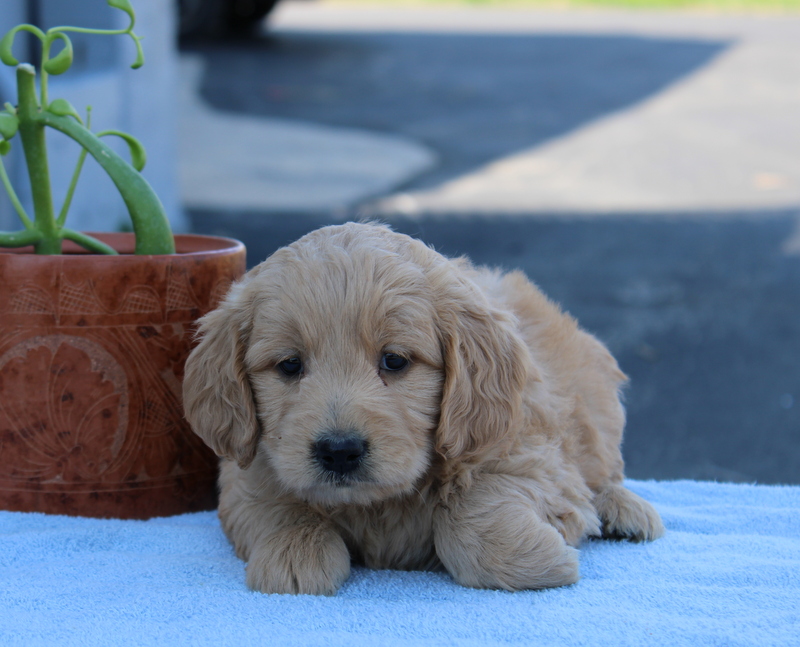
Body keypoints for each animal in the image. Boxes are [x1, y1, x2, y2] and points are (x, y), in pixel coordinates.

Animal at [183, 220, 664, 596]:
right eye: (289, 365)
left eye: (395, 361)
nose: (339, 451)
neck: (378, 505)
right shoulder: (246, 471)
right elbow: (278, 504)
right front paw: (293, 553)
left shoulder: (530, 455)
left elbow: (471, 511)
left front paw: (532, 559)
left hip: (598, 404)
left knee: (606, 471)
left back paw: (625, 510)